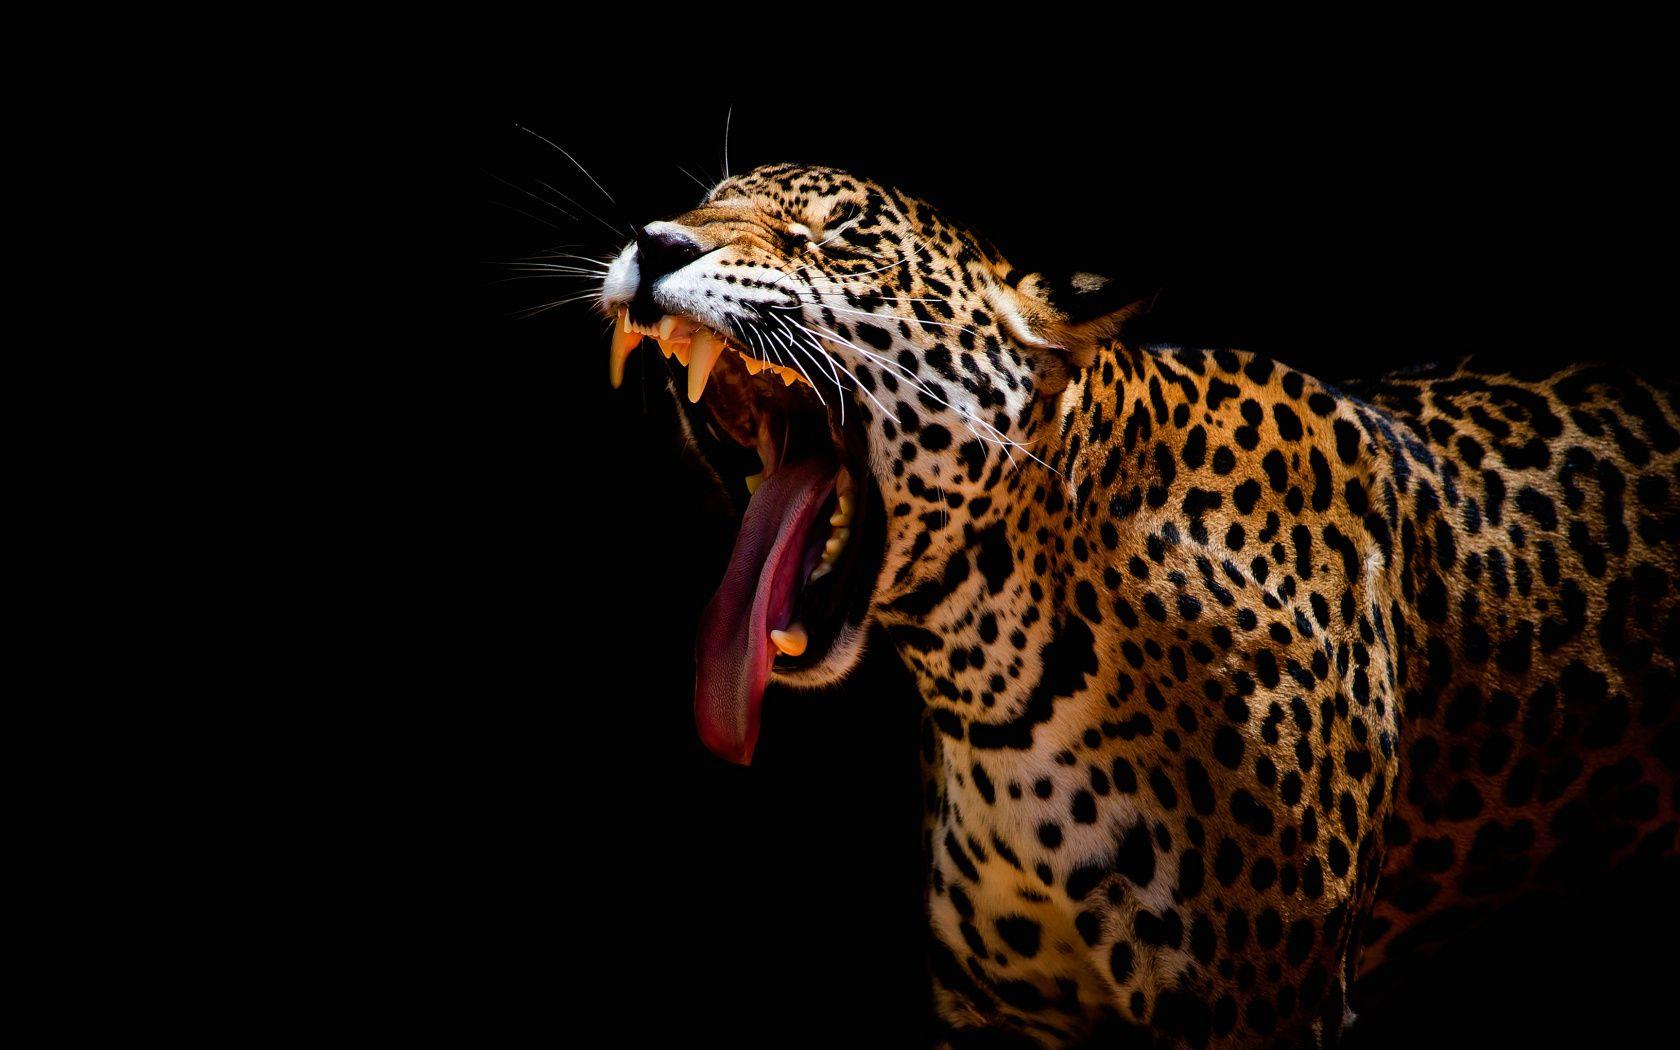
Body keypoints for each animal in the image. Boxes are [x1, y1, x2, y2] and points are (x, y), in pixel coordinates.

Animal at [591, 162, 1680, 1048]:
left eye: (839, 237)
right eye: (705, 201)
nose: (657, 243)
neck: (998, 680)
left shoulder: (1264, 1001)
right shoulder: (1001, 1012)